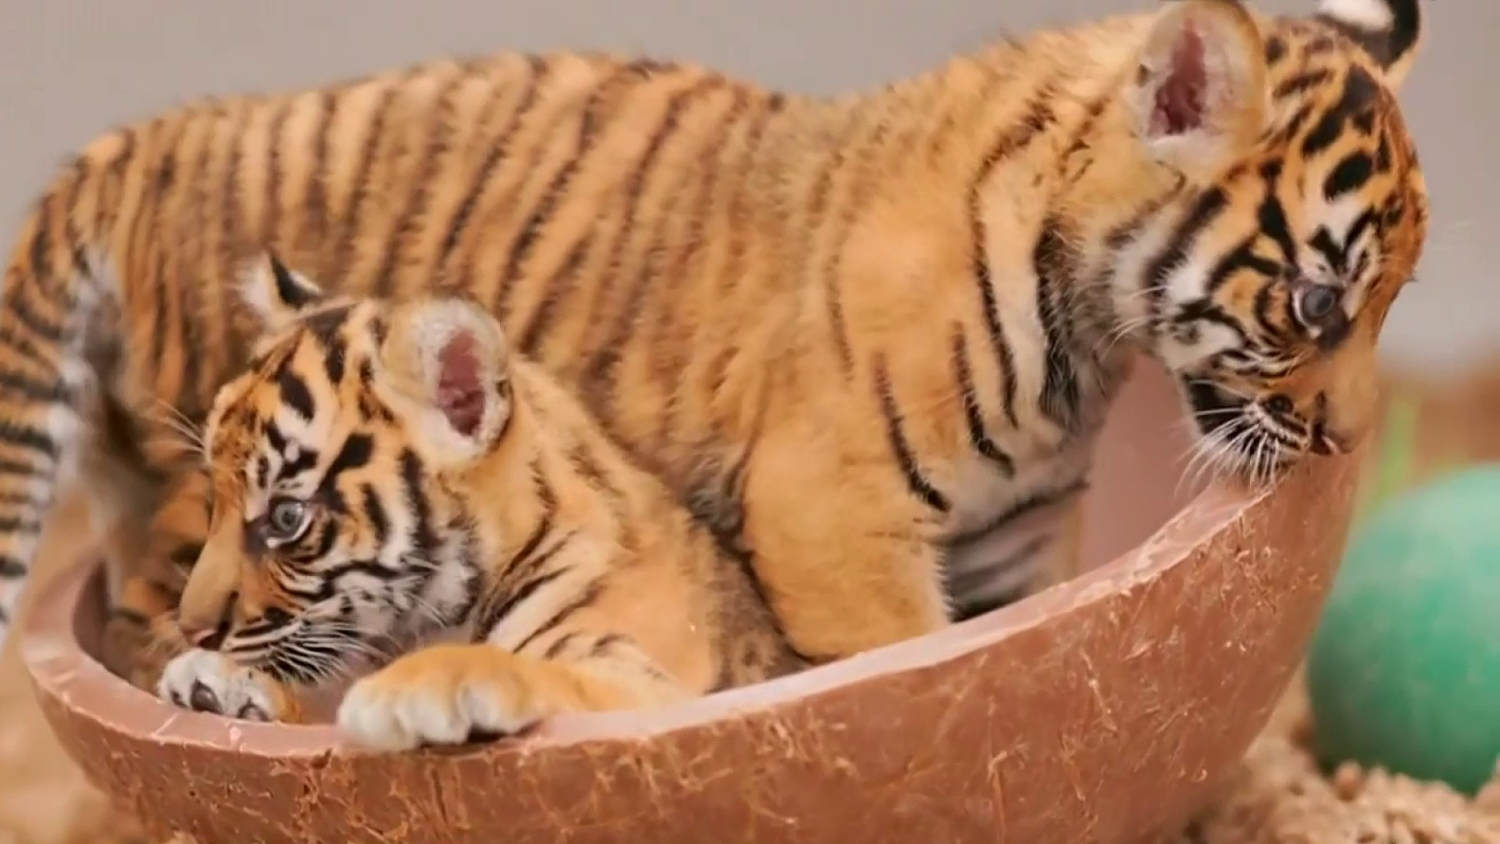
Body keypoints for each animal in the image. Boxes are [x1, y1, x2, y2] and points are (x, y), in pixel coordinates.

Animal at [0, 0, 1427, 676]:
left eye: (1391, 301)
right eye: (1320, 302)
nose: (1351, 435)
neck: (1085, 336)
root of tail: (136, 139)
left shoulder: (1014, 534)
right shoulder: (831, 523)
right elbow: (894, 657)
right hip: (199, 513)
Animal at [145, 253, 798, 747]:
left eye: (286, 517)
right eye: (216, 501)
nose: (193, 631)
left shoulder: (646, 683)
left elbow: (543, 673)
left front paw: (415, 690)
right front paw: (222, 683)